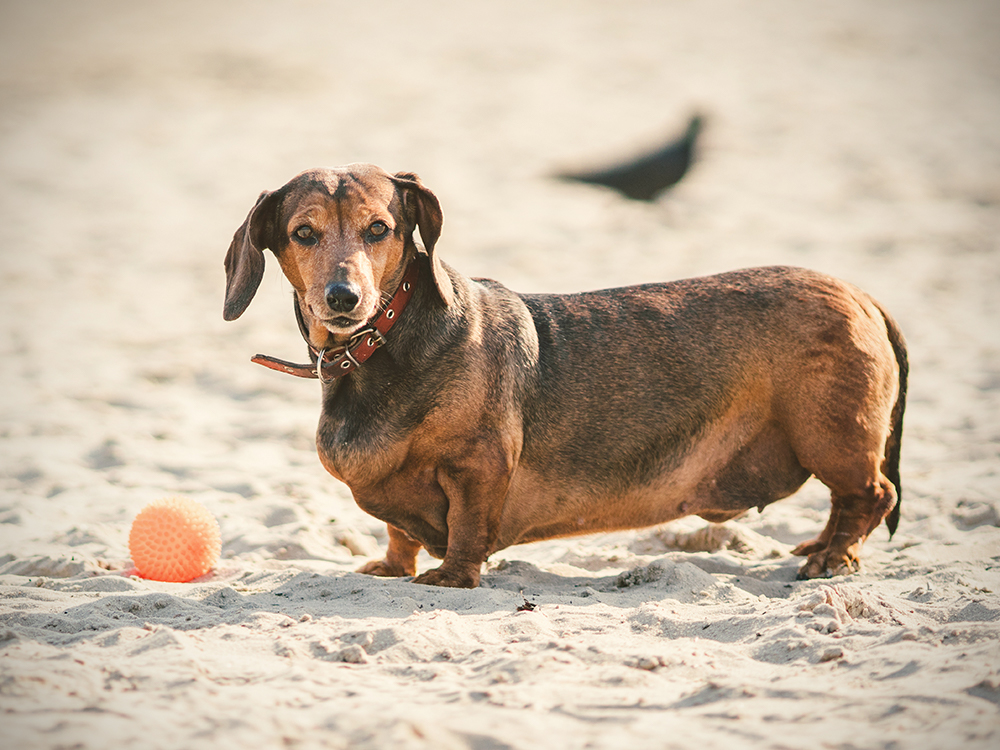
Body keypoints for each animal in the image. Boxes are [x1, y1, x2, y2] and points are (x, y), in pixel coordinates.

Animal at [225, 163, 908, 588]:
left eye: (379, 229)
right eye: (303, 233)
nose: (343, 299)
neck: (380, 345)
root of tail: (862, 295)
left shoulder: (478, 465)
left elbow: (467, 526)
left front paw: (452, 577)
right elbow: (398, 531)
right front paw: (392, 567)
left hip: (830, 435)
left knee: (872, 494)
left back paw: (832, 559)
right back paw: (819, 548)